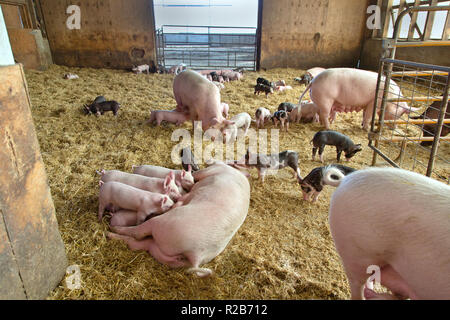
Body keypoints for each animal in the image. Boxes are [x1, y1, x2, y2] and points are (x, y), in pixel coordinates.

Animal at [107, 162, 251, 278]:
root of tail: (196, 255)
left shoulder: (212, 169)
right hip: (167, 256)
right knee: (136, 244)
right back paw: (110, 234)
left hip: (161, 224)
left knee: (138, 233)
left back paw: (111, 230)